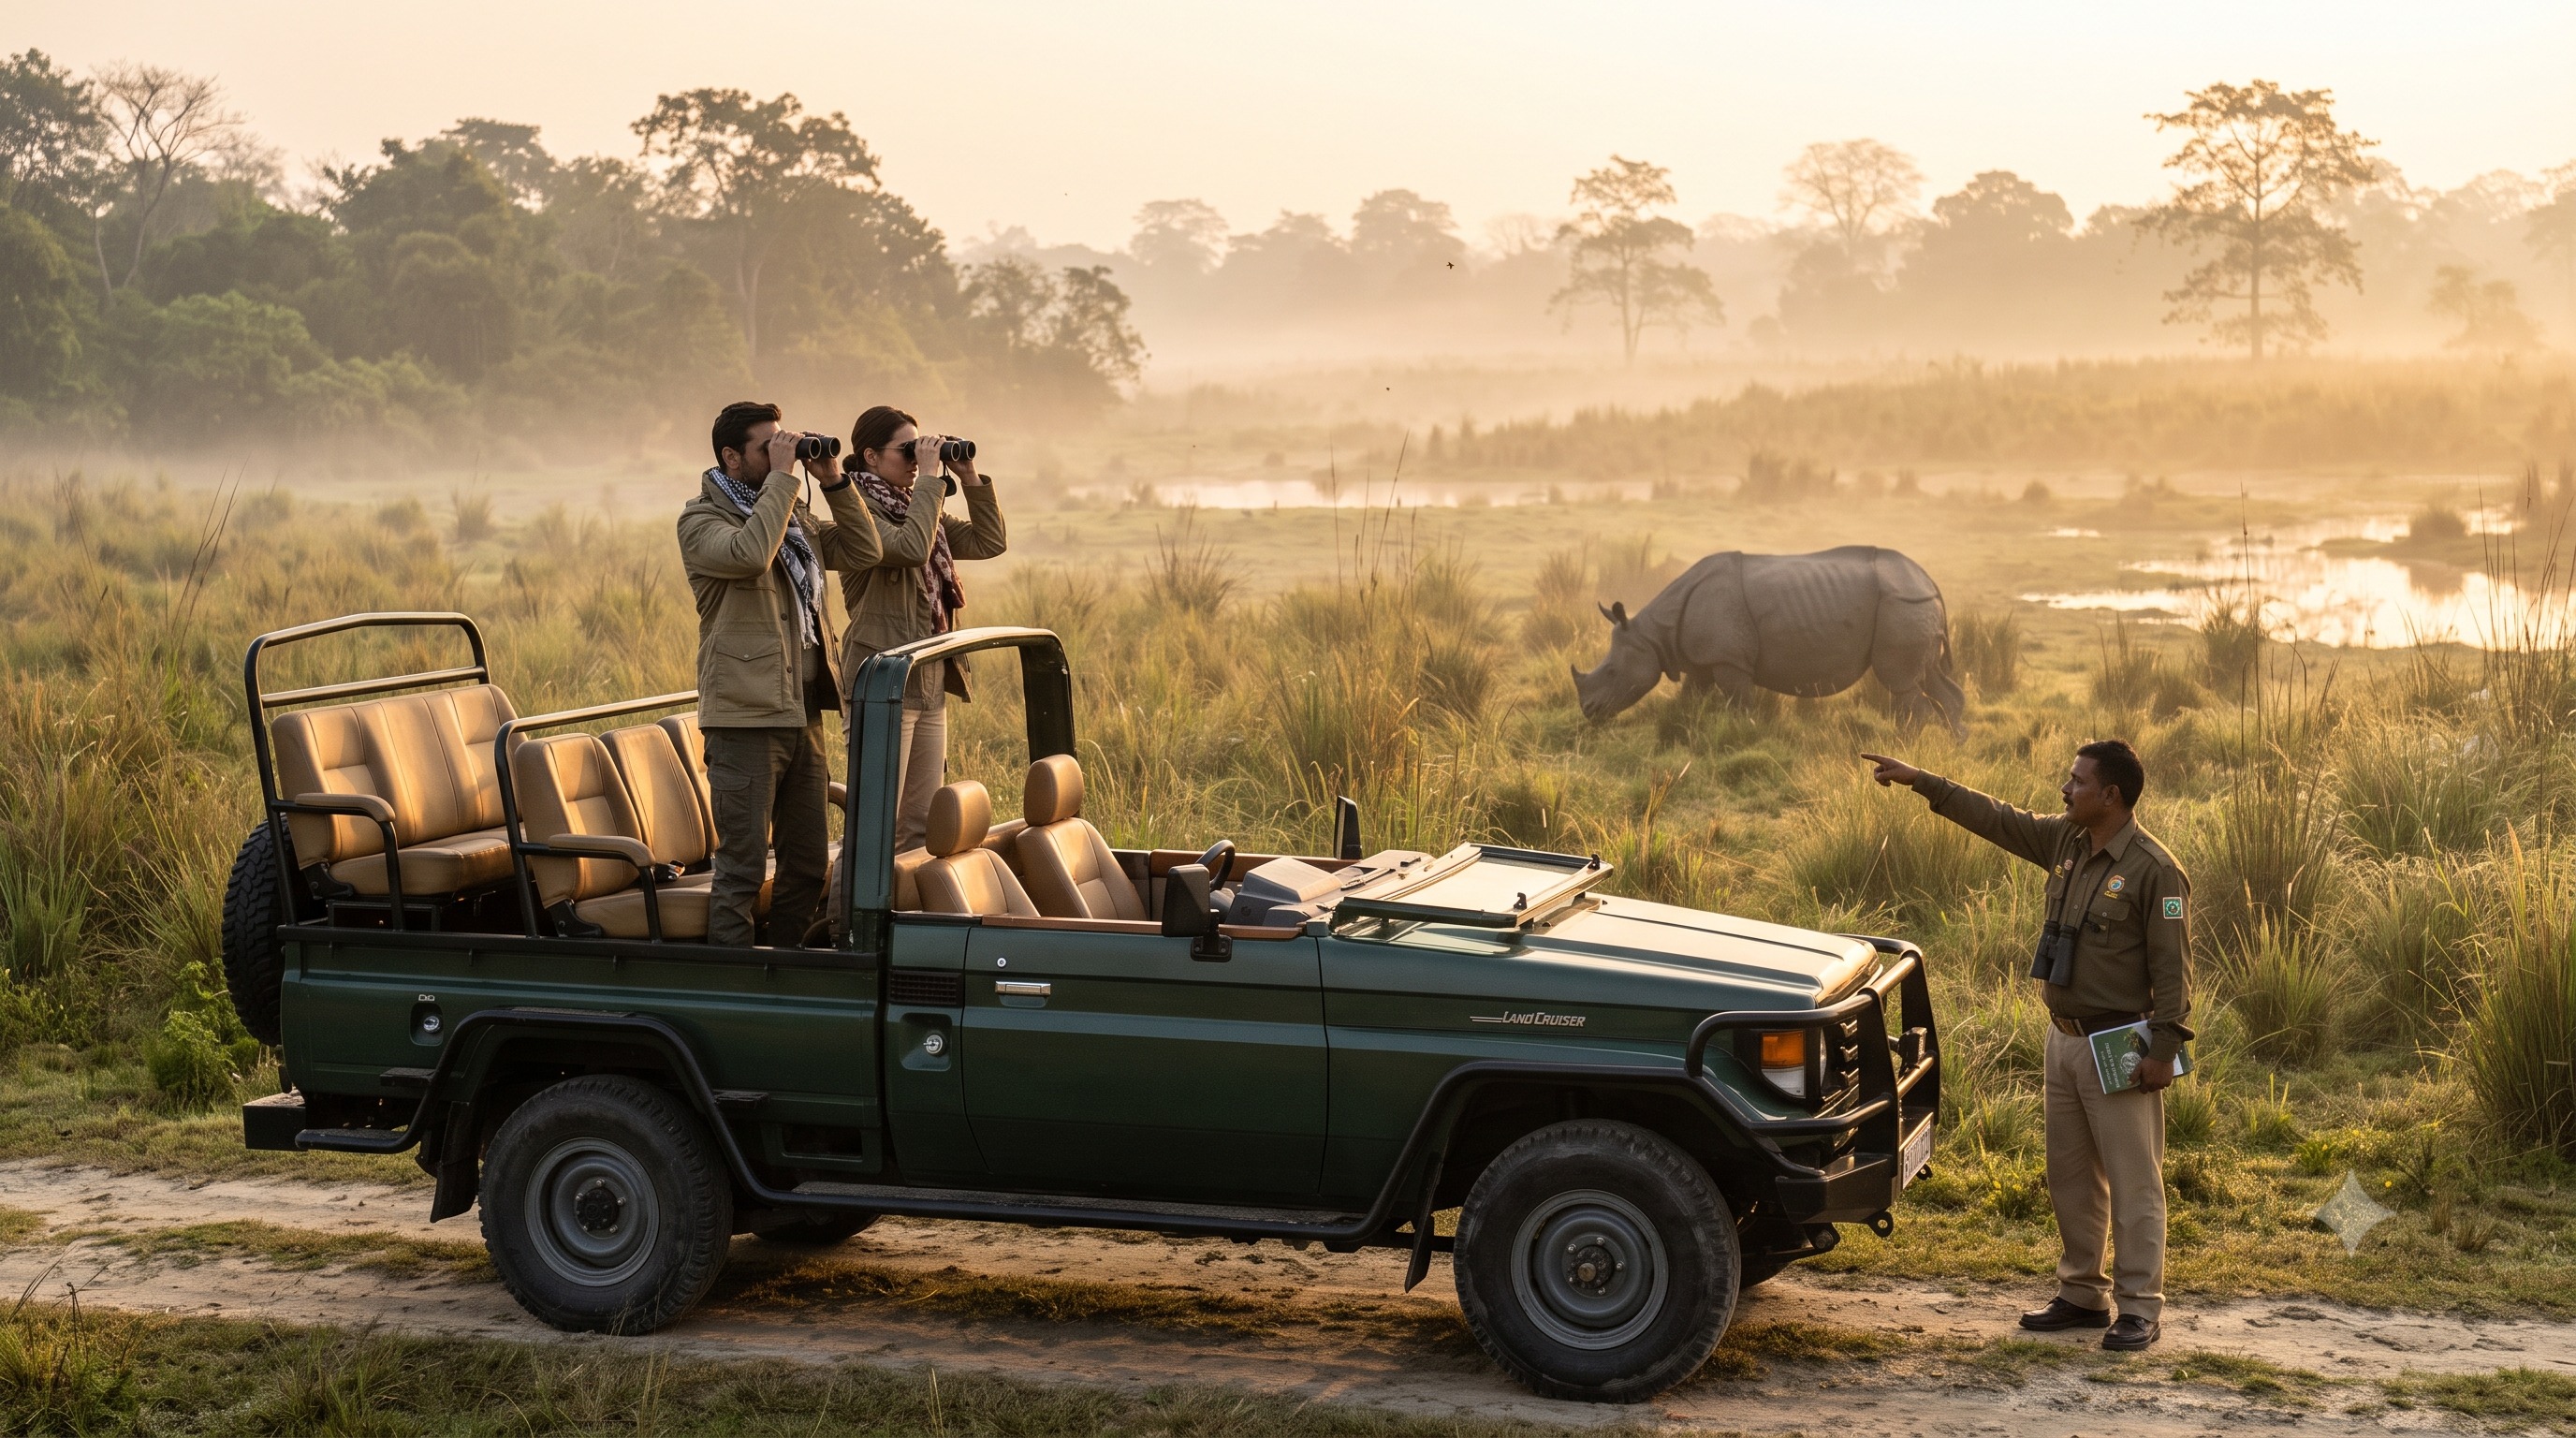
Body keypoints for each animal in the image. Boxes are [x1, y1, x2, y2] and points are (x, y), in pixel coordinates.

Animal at [1570, 545, 1966, 734]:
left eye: (1611, 672)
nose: (1589, 712)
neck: (1655, 634)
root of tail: (1929, 581)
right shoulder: (1701, 659)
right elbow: (1690, 697)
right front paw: (1680, 726)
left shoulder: (1729, 659)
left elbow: (1738, 702)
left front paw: (1741, 733)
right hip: (1913, 605)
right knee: (1928, 677)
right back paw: (1953, 747)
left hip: (1902, 604)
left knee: (1900, 681)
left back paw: (1902, 749)